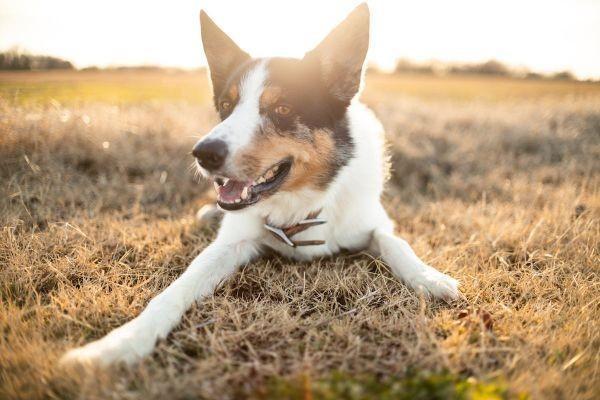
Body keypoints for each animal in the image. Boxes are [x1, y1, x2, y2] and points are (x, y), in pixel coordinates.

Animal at [61, 3, 458, 368]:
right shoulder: (230, 244)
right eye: (226, 105)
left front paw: (429, 276)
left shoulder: (373, 221)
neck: (301, 204)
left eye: (282, 109)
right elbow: (178, 287)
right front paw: (121, 343)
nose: (204, 153)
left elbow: (395, 241)